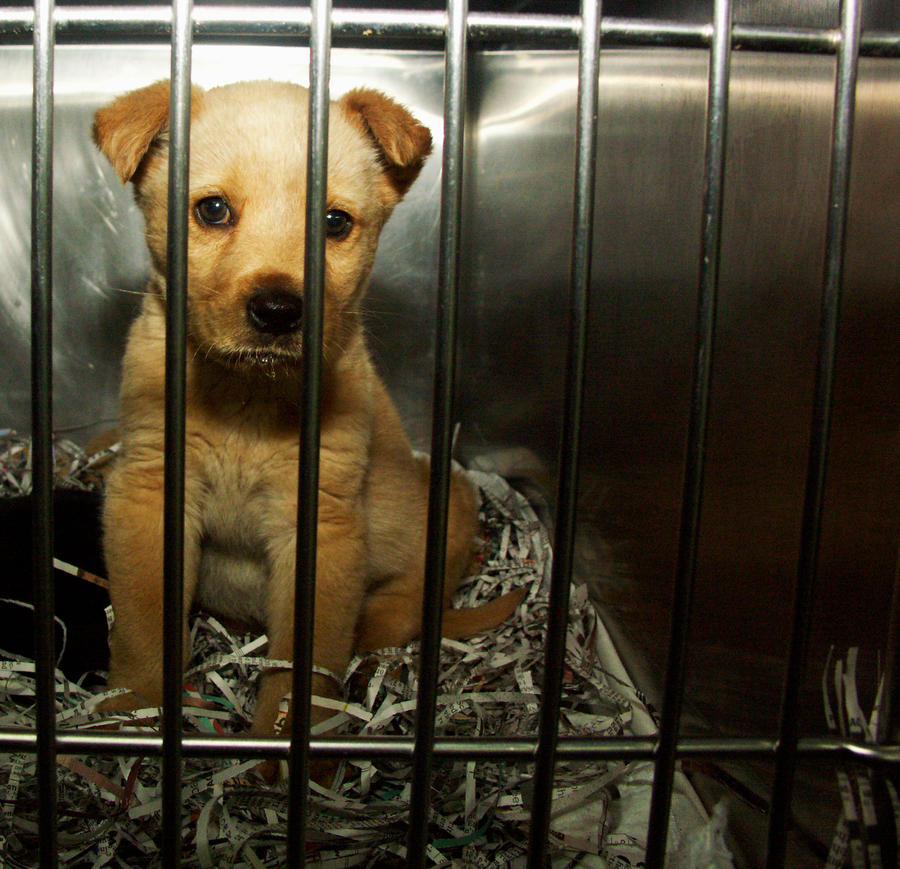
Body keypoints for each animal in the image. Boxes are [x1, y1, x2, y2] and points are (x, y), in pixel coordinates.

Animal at [91, 81, 520, 736]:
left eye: (334, 222)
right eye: (212, 210)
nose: (277, 310)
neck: (247, 401)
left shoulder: (321, 527)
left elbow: (304, 662)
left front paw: (286, 738)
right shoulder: (149, 494)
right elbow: (143, 627)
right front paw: (131, 710)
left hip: (447, 506)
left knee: (403, 607)